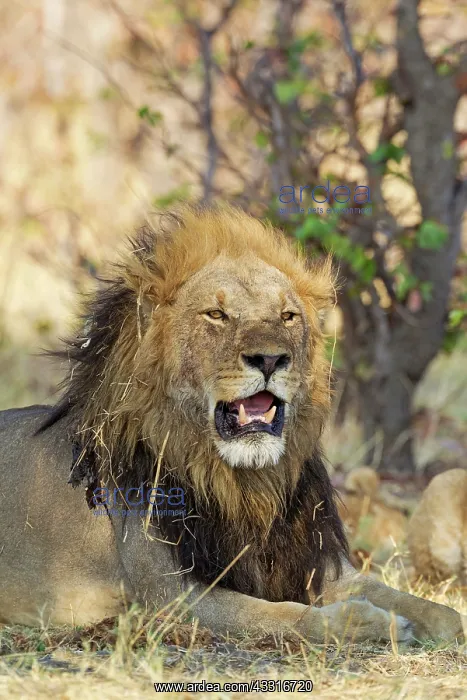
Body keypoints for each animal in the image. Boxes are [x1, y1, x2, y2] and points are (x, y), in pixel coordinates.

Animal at [0, 205, 464, 644]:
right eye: (216, 314)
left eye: (288, 316)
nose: (271, 359)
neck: (245, 485)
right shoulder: (169, 597)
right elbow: (278, 615)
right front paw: (366, 622)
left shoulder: (323, 566)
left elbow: (425, 605)